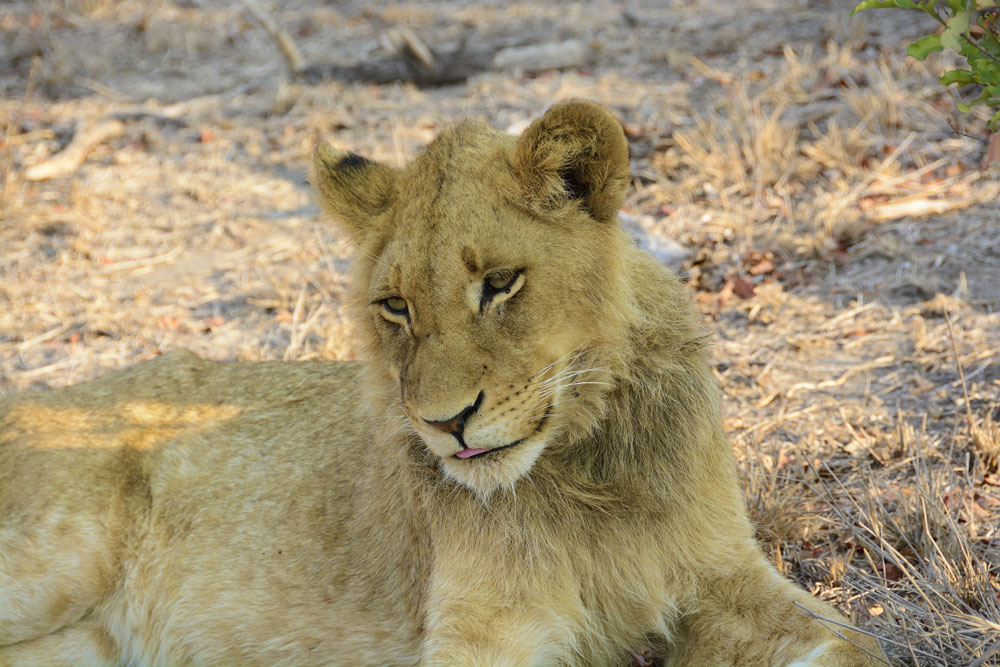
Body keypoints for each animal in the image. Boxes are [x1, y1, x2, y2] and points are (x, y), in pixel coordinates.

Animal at [0, 100, 885, 666]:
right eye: (394, 305)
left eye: (499, 283)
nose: (445, 422)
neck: (588, 469)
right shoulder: (483, 629)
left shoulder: (724, 571)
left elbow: (859, 642)